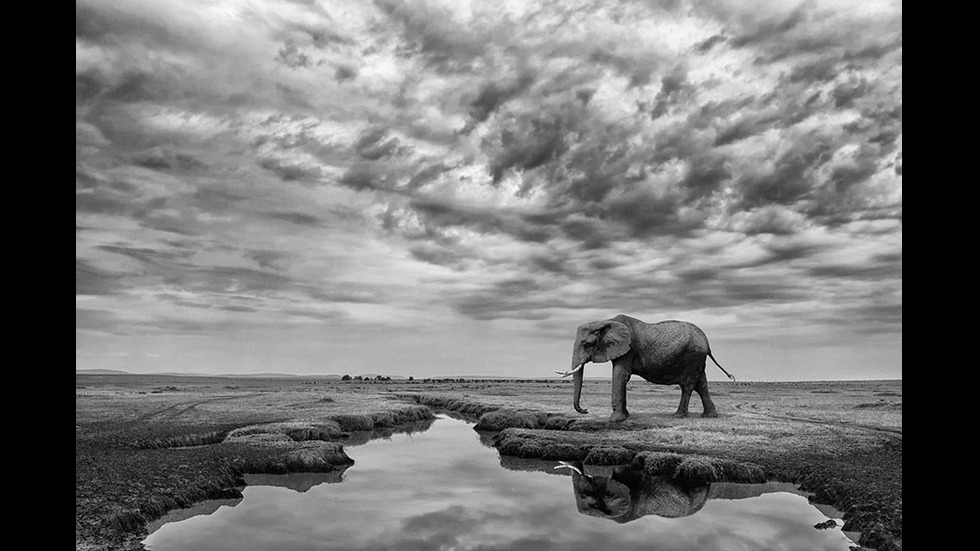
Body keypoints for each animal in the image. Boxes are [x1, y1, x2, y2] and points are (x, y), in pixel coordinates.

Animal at [556, 314, 732, 422]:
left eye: (586, 344)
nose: (585, 410)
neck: (605, 321)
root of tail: (707, 342)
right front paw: (626, 416)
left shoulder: (628, 349)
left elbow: (620, 375)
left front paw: (615, 420)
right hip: (697, 358)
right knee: (701, 384)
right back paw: (709, 416)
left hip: (692, 356)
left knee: (688, 385)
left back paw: (678, 415)